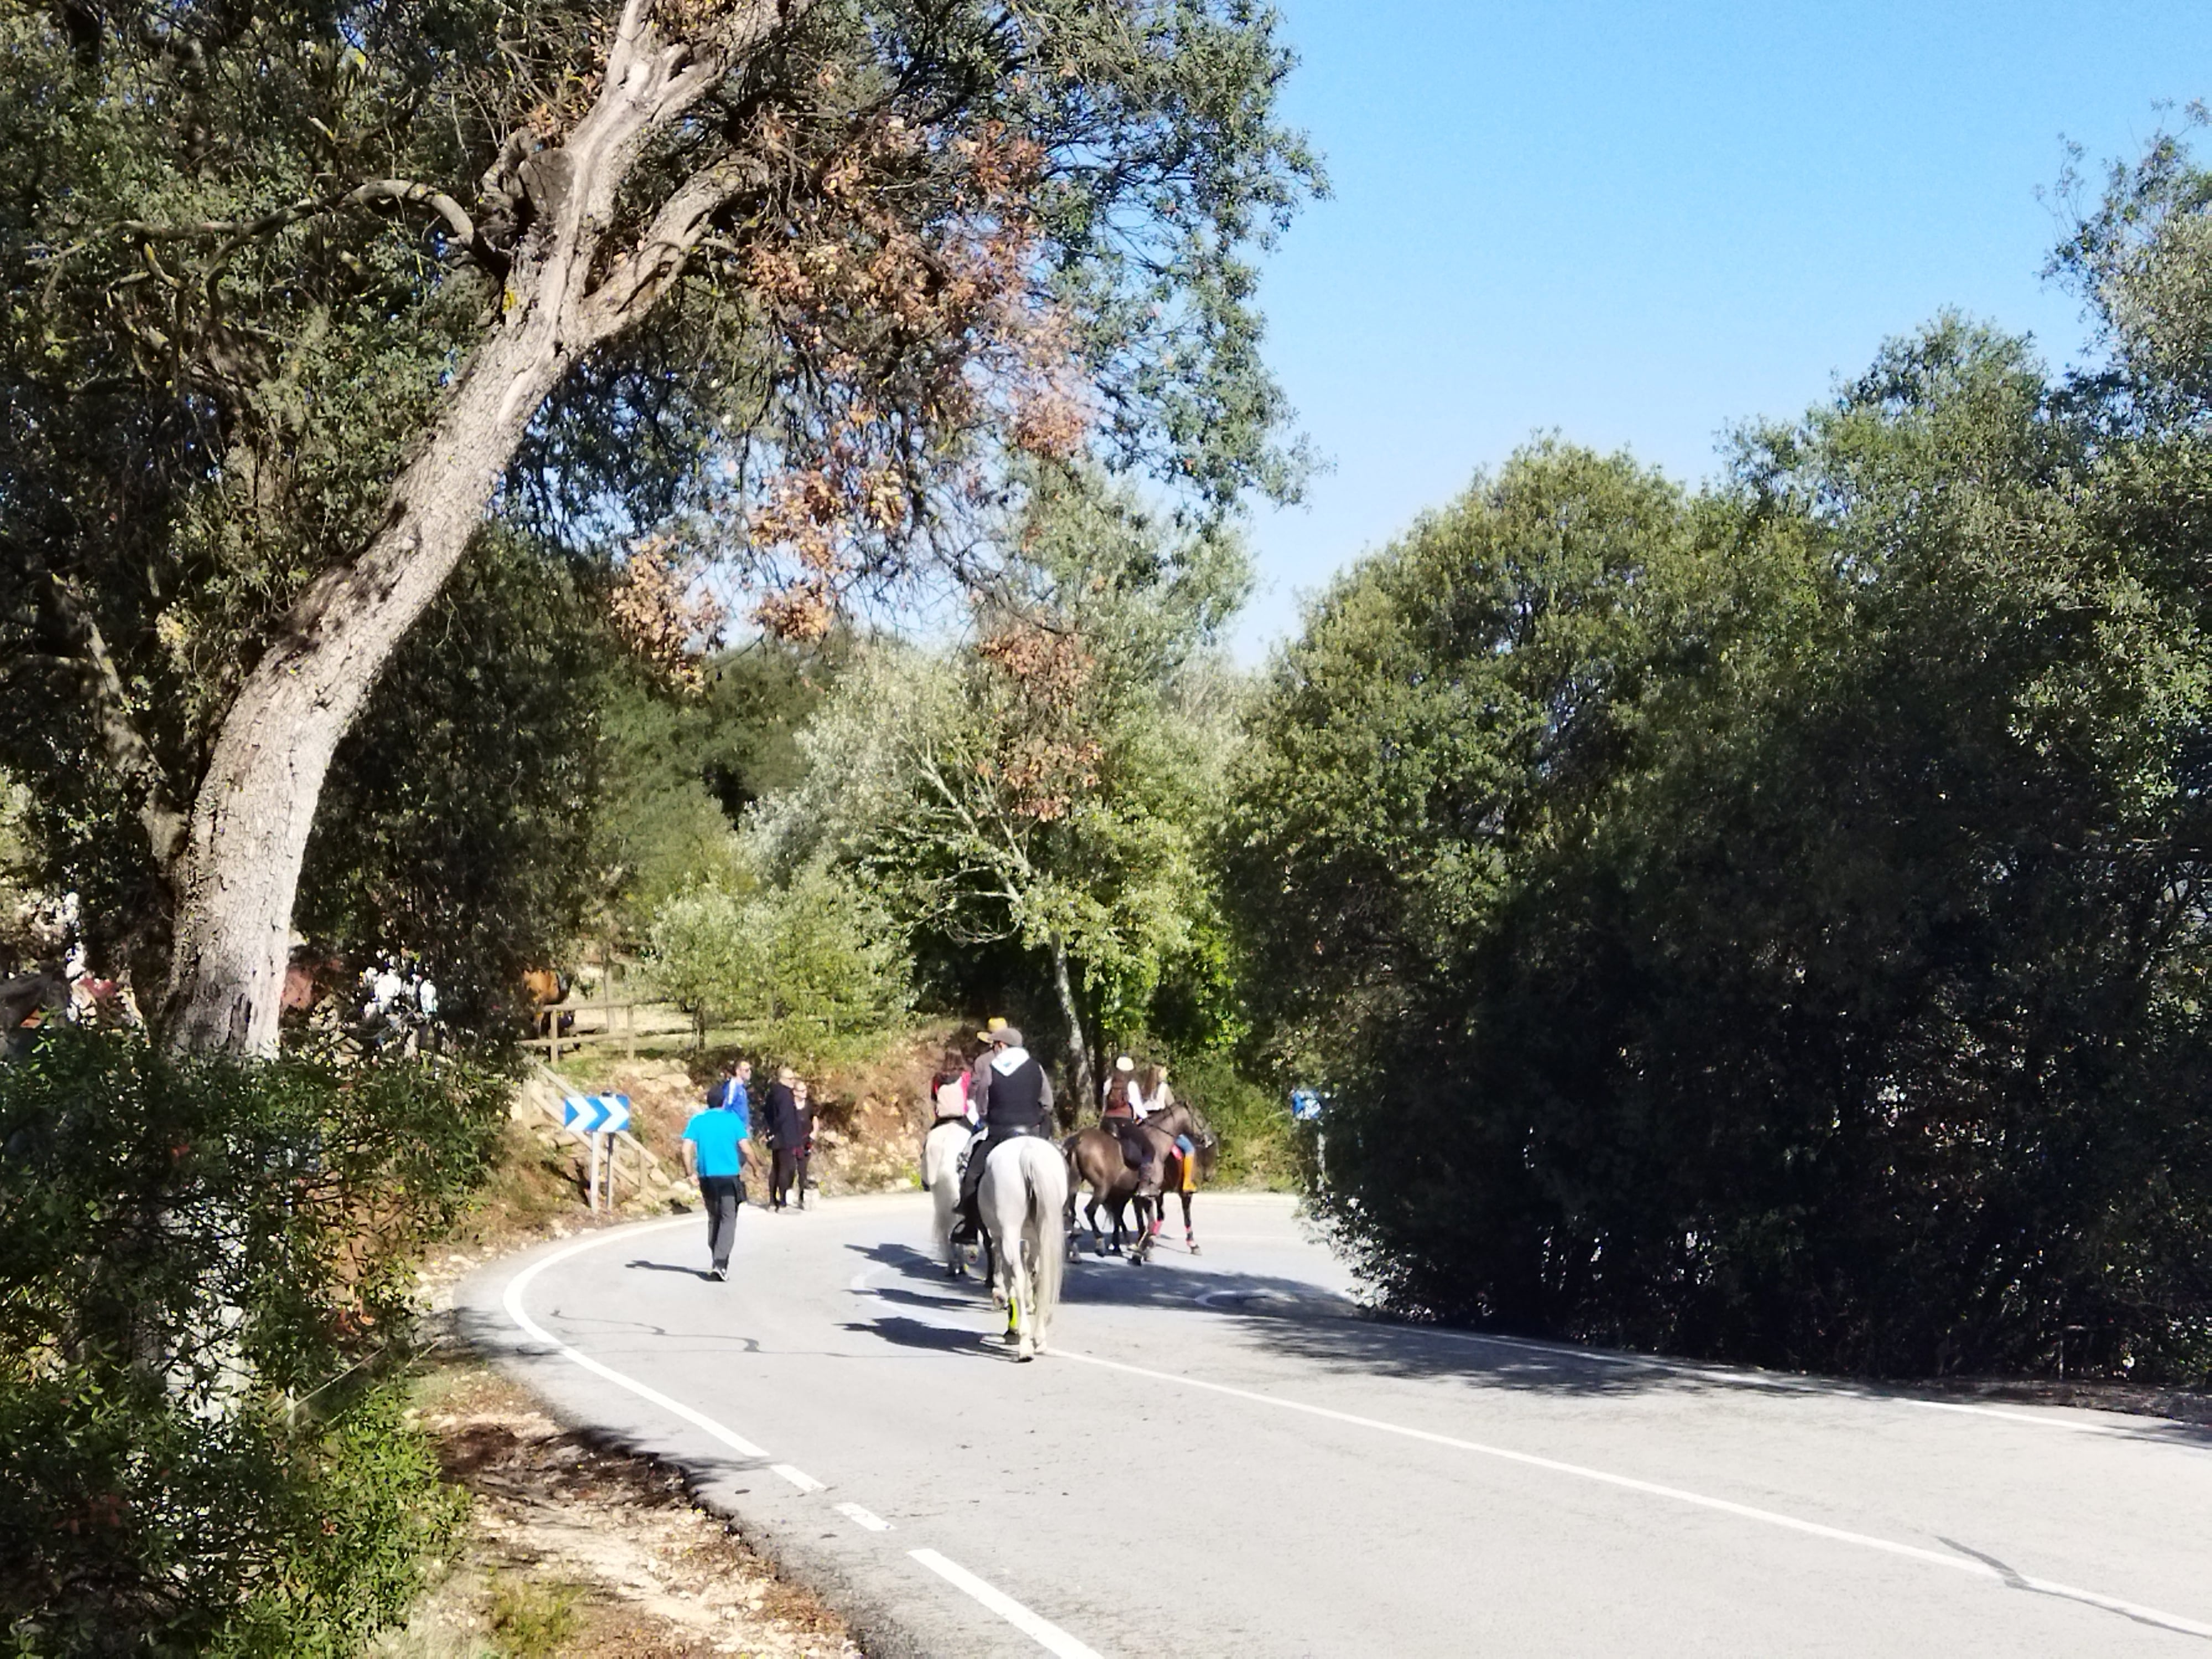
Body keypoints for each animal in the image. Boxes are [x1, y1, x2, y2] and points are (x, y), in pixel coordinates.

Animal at [978, 1141, 1071, 1363]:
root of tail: (1028, 1152)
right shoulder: (1032, 1240)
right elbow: (1032, 1275)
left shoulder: (1000, 1236)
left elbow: (1006, 1275)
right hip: (1044, 1233)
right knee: (1042, 1277)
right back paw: (1039, 1339)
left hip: (1010, 1231)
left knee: (1018, 1278)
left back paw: (1025, 1345)